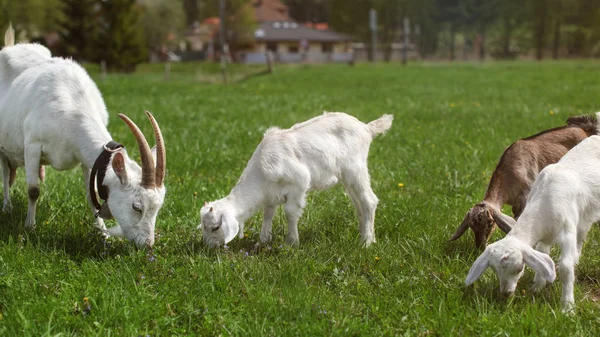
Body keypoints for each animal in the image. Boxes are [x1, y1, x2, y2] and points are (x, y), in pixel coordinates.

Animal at [0, 26, 166, 247]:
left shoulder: (86, 159)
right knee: (4, 173)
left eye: (157, 208)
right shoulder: (33, 146)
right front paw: (30, 227)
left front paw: (103, 234)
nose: (147, 244)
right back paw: (7, 207)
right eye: (136, 207)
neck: (72, 105)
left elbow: (90, 194)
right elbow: (33, 190)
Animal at [198, 113, 394, 247]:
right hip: (347, 177)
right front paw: (263, 240)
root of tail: (366, 128)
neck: (261, 173)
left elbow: (290, 212)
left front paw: (291, 243)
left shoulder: (299, 182)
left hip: (356, 168)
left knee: (369, 200)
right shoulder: (270, 194)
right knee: (359, 204)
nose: (209, 247)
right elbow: (268, 213)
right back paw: (367, 236)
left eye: (215, 227)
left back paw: (366, 242)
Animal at [466, 134, 600, 312]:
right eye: (494, 269)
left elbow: (565, 268)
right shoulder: (545, 237)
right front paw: (537, 287)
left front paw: (567, 307)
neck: (546, 202)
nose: (506, 293)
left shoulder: (567, 232)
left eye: (519, 268)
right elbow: (543, 255)